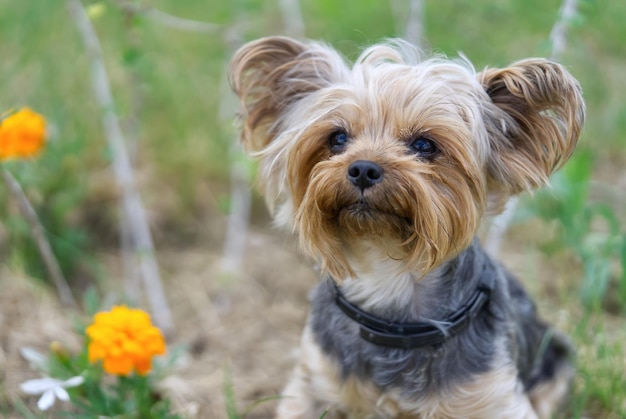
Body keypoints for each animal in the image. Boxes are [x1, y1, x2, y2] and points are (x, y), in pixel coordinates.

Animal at [229, 37, 584, 419]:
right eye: (337, 138)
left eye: (424, 145)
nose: (363, 168)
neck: (386, 277)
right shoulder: (312, 382)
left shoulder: (492, 397)